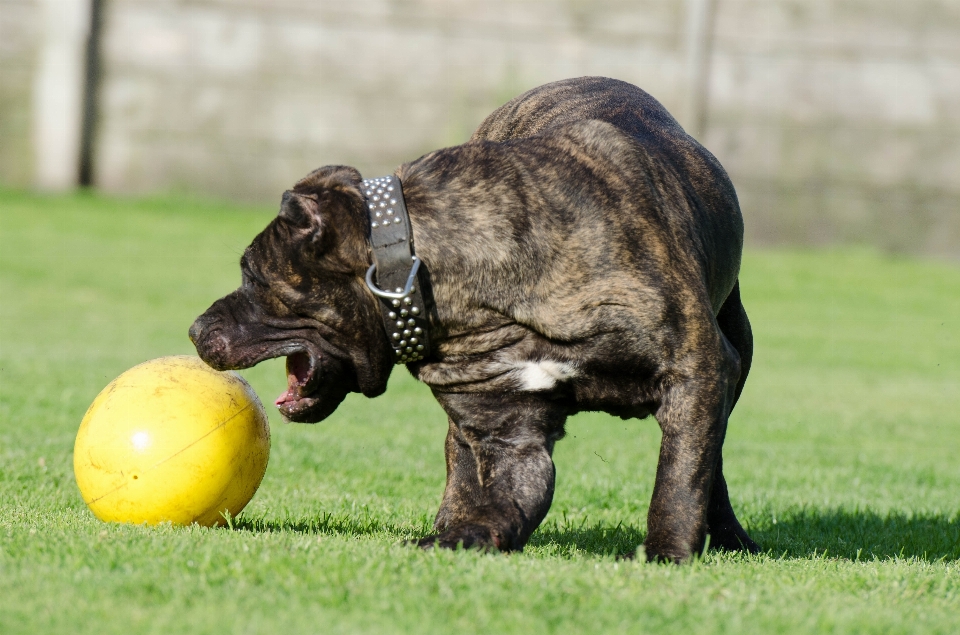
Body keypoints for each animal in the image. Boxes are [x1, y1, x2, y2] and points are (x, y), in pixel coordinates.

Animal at [188, 78, 756, 560]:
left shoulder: (696, 371)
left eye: (252, 276)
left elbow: (680, 477)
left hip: (737, 354)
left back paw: (730, 536)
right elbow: (502, 498)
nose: (194, 329)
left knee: (712, 462)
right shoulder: (507, 432)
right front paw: (458, 537)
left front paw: (668, 552)